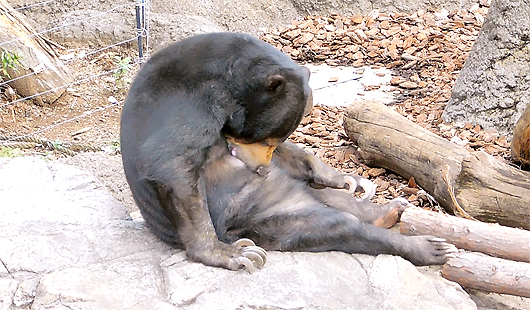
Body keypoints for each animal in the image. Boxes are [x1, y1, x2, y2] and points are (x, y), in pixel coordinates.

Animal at [120, 32, 454, 272]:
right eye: (265, 137)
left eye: (273, 140)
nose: (261, 169)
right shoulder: (187, 100)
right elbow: (171, 165)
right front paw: (231, 254)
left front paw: (347, 179)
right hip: (263, 217)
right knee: (336, 226)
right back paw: (432, 247)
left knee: (338, 203)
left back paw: (387, 210)